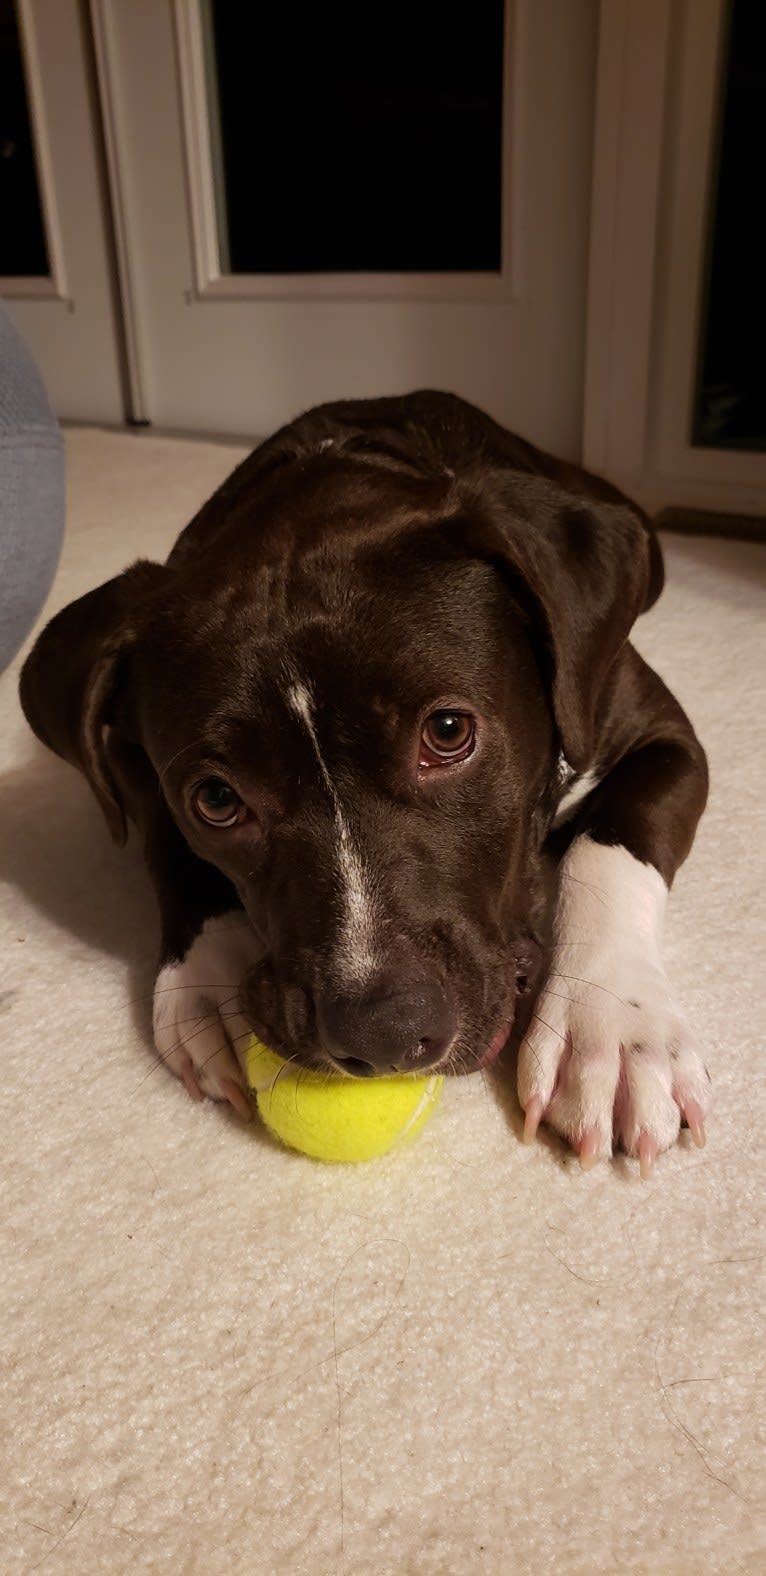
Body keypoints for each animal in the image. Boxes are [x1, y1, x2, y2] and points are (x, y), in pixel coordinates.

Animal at [19, 392, 712, 1172]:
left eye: (449, 732)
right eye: (217, 799)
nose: (384, 1035)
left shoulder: (663, 736)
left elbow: (615, 844)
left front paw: (611, 1028)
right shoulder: (134, 768)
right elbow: (167, 849)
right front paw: (207, 971)